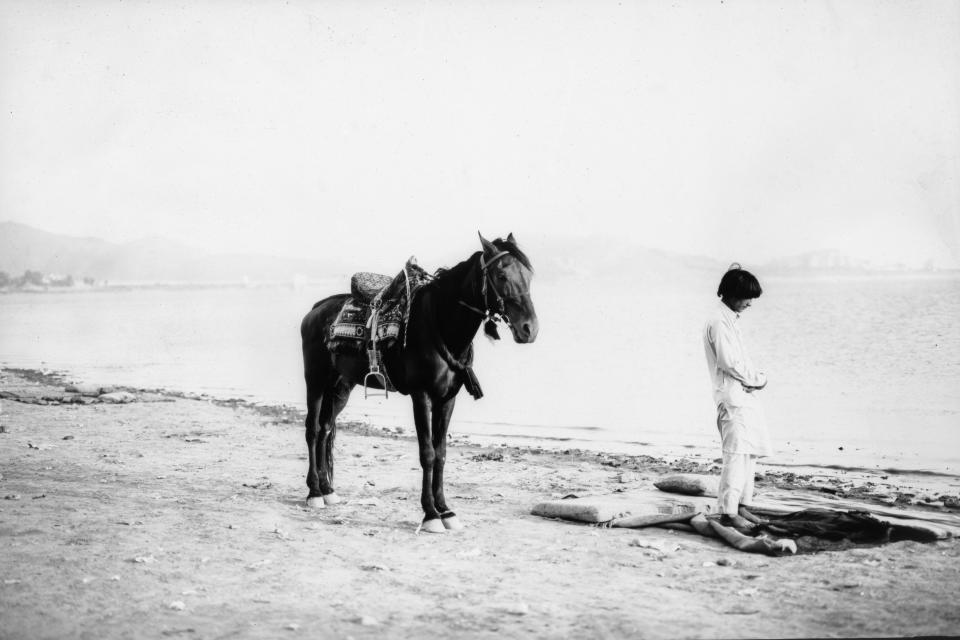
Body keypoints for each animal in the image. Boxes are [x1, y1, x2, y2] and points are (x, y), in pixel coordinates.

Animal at [300, 232, 540, 532]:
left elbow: (441, 453)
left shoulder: (447, 399)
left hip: (340, 387)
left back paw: (327, 490)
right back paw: (314, 492)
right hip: (315, 380)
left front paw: (446, 510)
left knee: (325, 429)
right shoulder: (421, 396)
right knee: (312, 430)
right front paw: (430, 514)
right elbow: (427, 453)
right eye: (501, 274)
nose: (529, 328)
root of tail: (315, 309)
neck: (441, 324)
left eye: (528, 275)